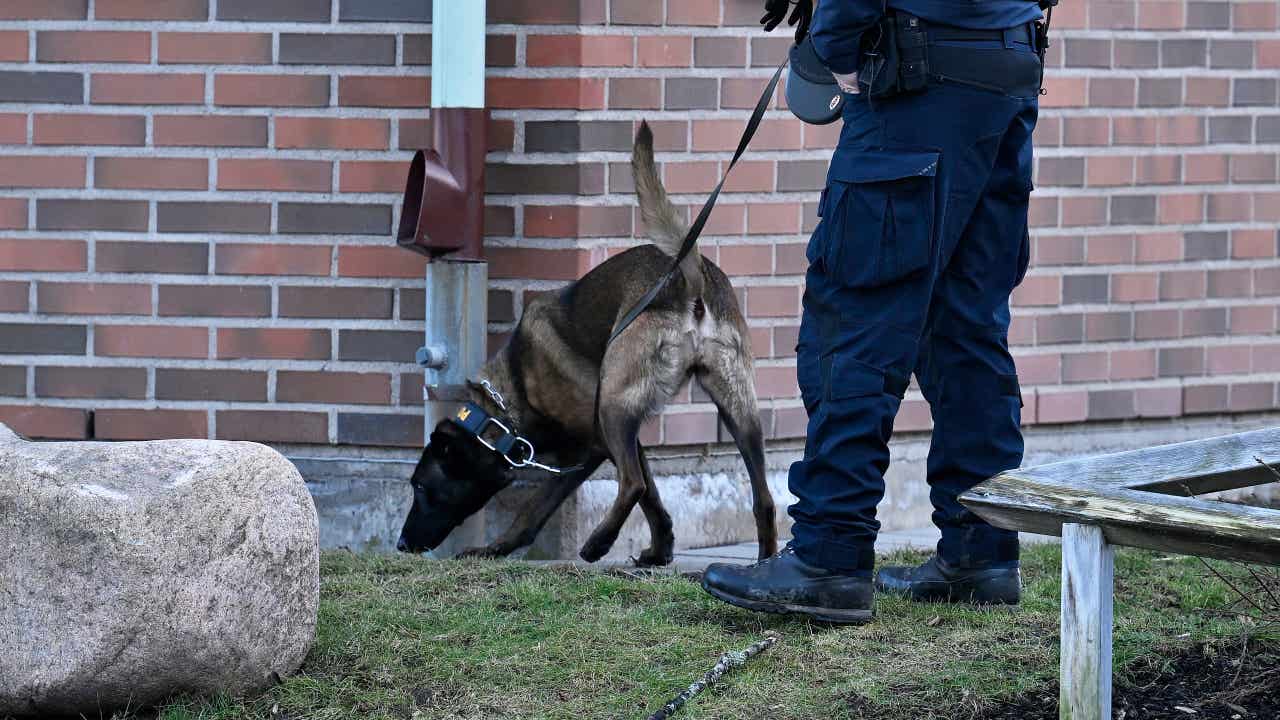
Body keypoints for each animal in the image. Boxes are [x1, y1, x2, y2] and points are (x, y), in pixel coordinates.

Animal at [399, 120, 773, 563]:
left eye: (421, 487)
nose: (401, 544)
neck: (513, 389)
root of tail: (687, 280)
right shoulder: (615, 441)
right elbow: (653, 498)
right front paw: (660, 549)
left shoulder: (593, 443)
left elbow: (540, 505)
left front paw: (497, 547)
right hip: (738, 408)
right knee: (763, 497)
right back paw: (767, 559)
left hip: (613, 407)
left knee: (631, 483)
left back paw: (598, 542)